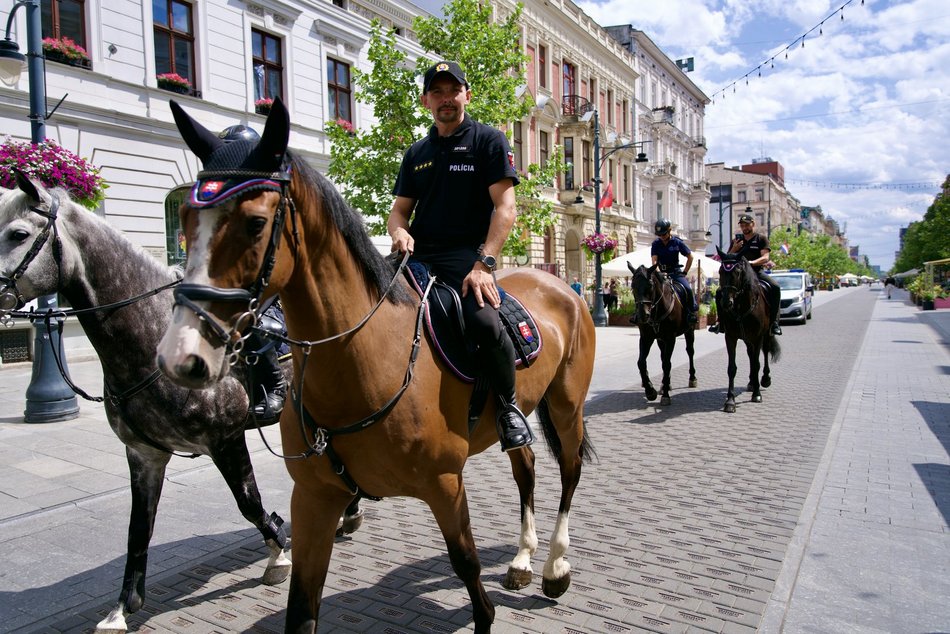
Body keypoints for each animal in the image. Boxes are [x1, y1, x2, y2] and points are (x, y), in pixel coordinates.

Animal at [159, 96, 600, 628]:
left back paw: (555, 565)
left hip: (566, 405)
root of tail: (565, 288)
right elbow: (301, 606)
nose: (180, 353)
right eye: (184, 216)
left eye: (255, 223)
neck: (364, 362)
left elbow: (470, 573)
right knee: (527, 466)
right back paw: (521, 560)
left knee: (570, 470)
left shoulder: (445, 485)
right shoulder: (315, 500)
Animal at [632, 262, 700, 404]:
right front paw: (650, 390)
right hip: (660, 339)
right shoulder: (646, 337)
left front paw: (665, 396)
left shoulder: (670, 338)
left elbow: (667, 364)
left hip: (689, 330)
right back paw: (665, 385)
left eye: (650, 285)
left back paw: (692, 378)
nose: (642, 315)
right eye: (632, 286)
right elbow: (641, 362)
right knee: (663, 356)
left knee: (690, 351)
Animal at [716, 244, 784, 412]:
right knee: (751, 354)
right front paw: (730, 401)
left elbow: (757, 363)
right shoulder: (731, 337)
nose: (726, 302)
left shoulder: (758, 336)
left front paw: (757, 395)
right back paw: (752, 382)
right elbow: (732, 368)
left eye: (737, 272)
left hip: (766, 335)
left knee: (763, 354)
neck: (741, 307)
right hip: (747, 338)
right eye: (720, 271)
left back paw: (764, 380)